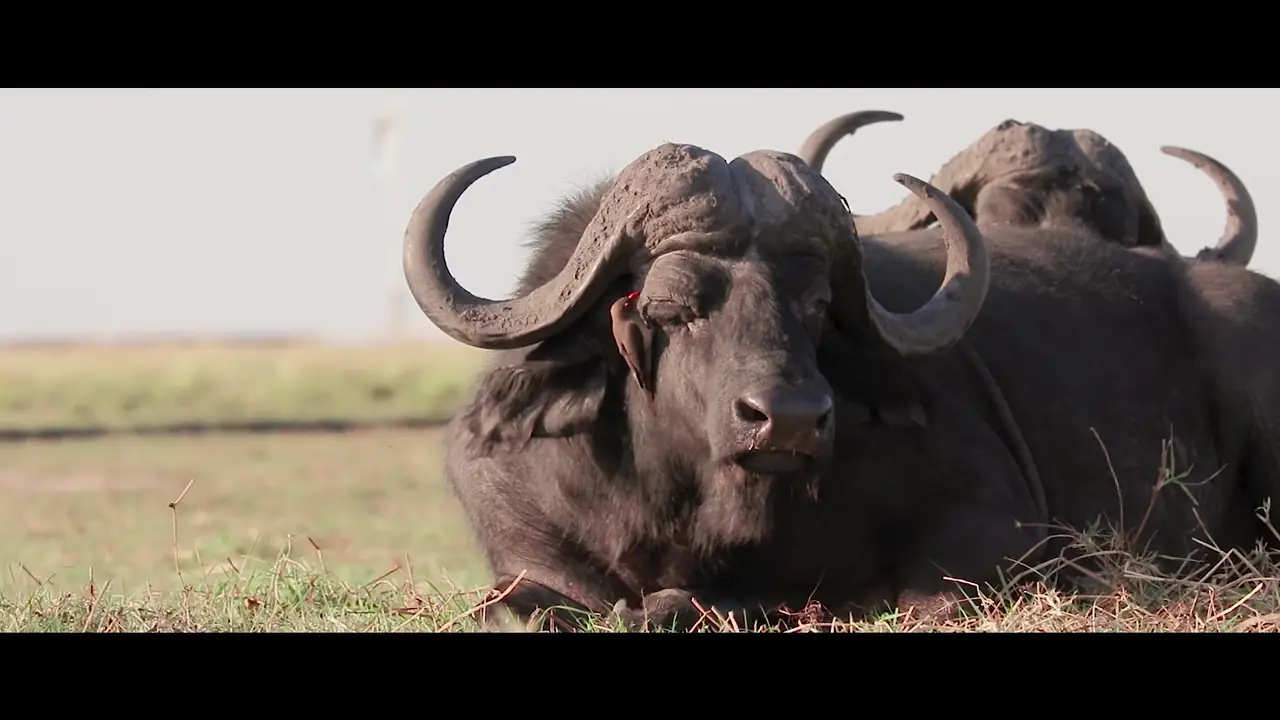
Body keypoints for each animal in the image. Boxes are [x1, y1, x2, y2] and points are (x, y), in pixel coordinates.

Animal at [403, 141, 1280, 631]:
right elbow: (515, 604)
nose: (789, 419)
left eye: (818, 304)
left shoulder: (995, 535)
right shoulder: (525, 549)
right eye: (671, 304)